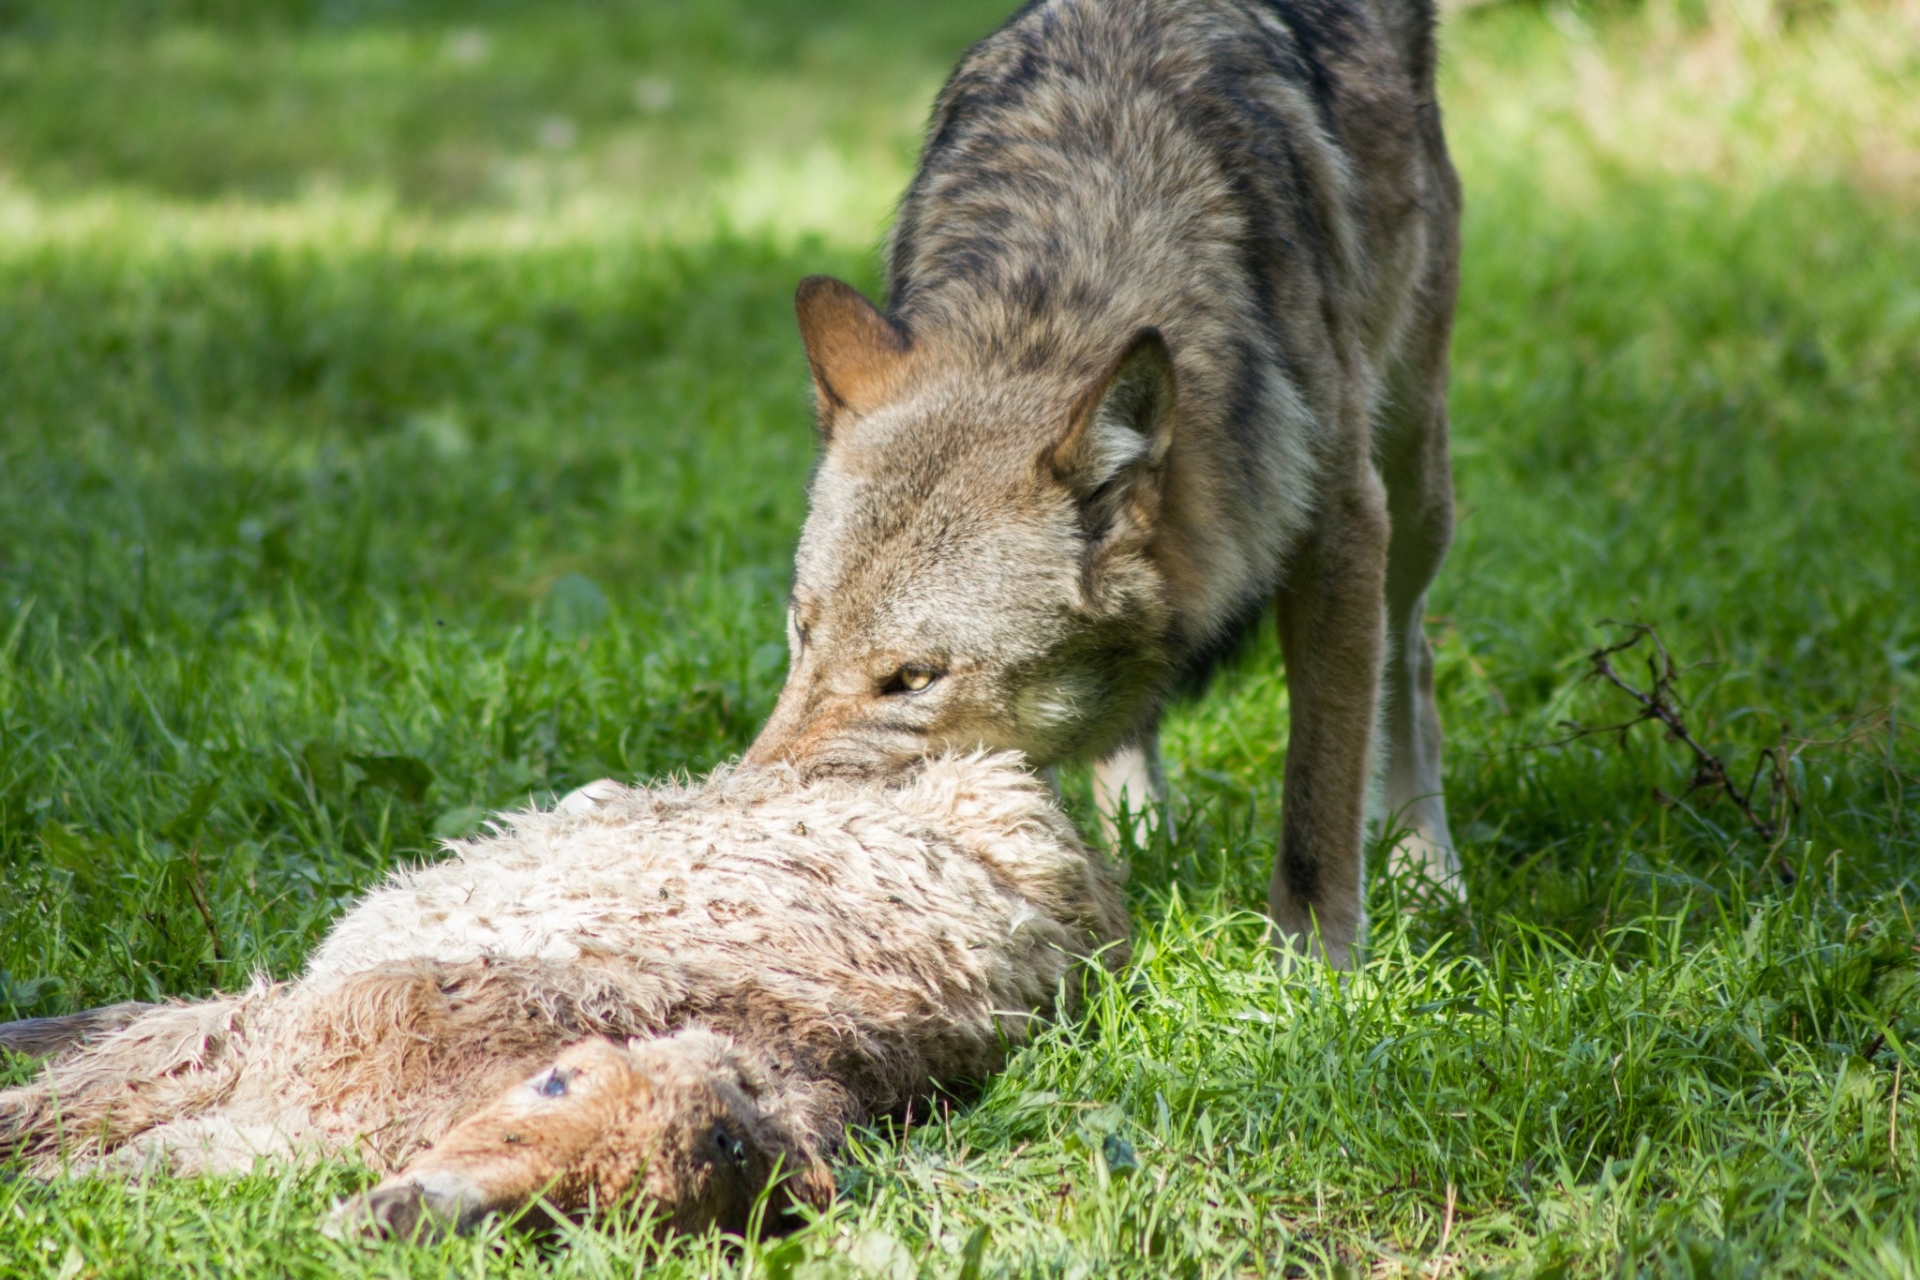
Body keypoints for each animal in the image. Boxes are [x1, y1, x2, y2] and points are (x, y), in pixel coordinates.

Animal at [741, 0, 1459, 967]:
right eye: (801, 633)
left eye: (914, 679)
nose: (738, 817)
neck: (1052, 295)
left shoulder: (1340, 532)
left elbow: (1319, 799)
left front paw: (1313, 974)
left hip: (1413, 481)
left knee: (1409, 661)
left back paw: (1428, 874)